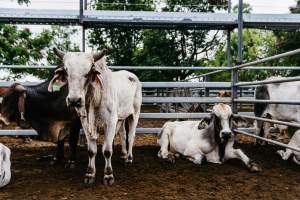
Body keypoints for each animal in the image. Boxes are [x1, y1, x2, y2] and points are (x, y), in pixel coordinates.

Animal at [48, 47, 142, 185]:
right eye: (66, 71)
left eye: (88, 72)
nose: (74, 100)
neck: (96, 97)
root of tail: (131, 75)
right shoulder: (86, 123)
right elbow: (91, 151)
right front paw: (90, 174)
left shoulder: (110, 121)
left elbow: (107, 150)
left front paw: (108, 175)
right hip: (121, 118)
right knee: (123, 134)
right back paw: (124, 155)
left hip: (134, 113)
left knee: (131, 136)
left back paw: (129, 158)